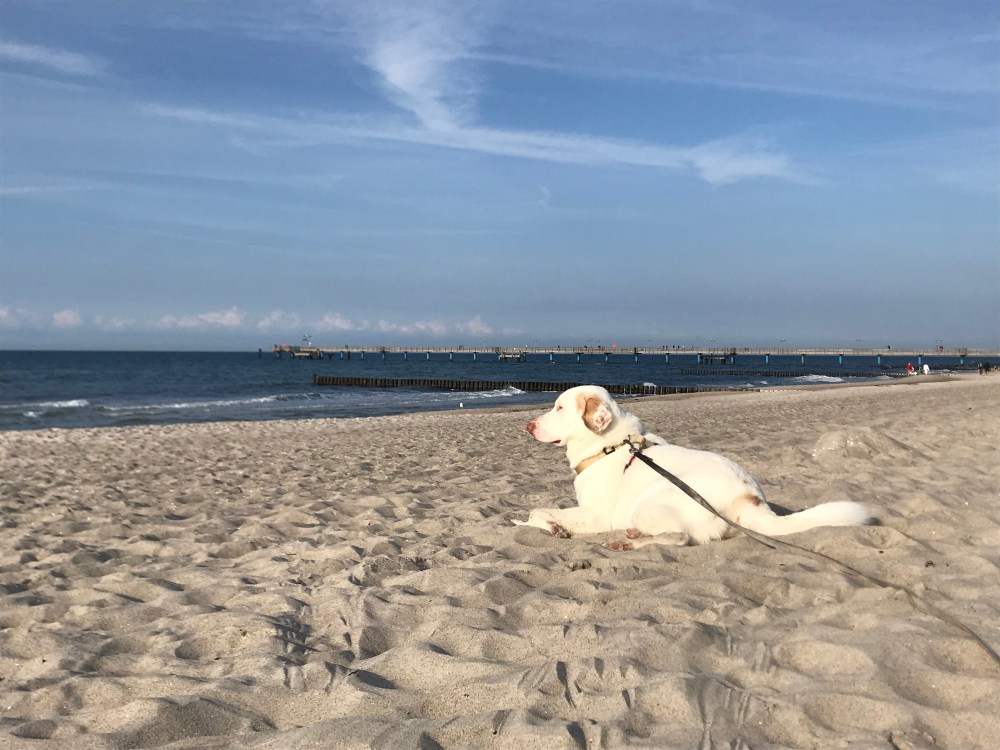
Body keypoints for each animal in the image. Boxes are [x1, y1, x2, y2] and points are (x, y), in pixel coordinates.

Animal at [515, 385, 872, 548]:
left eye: (560, 408)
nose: (528, 426)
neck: (609, 446)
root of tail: (751, 498)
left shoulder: (598, 515)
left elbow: (538, 511)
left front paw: (549, 526)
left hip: (652, 502)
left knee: (679, 537)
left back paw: (631, 540)